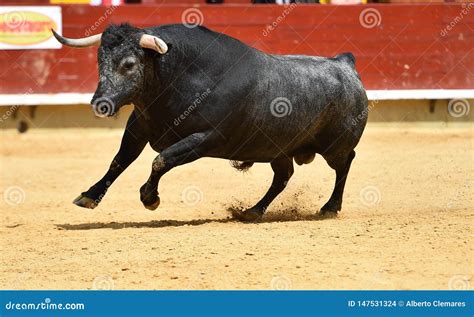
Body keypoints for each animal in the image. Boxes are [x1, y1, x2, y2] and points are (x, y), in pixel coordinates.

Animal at [53, 23, 368, 221]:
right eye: (100, 61)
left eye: (129, 64)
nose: (101, 104)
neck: (178, 77)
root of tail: (344, 63)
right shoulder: (137, 128)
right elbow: (119, 161)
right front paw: (89, 196)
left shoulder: (205, 138)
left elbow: (161, 160)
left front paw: (150, 198)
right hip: (276, 149)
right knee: (283, 176)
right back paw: (253, 211)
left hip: (335, 146)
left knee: (345, 164)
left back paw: (329, 208)